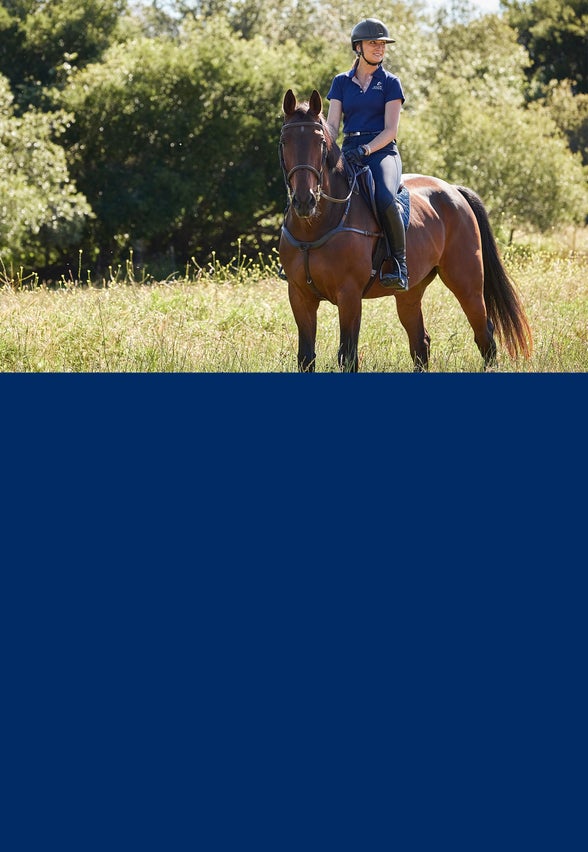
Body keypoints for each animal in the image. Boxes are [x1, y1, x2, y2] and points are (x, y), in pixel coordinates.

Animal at [278, 89, 533, 372]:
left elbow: (348, 356)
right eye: (285, 141)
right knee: (420, 343)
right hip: (410, 293)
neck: (316, 226)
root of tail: (454, 190)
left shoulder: (350, 296)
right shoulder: (299, 296)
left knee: (484, 335)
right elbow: (306, 357)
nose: (305, 201)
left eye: (321, 143)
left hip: (467, 285)